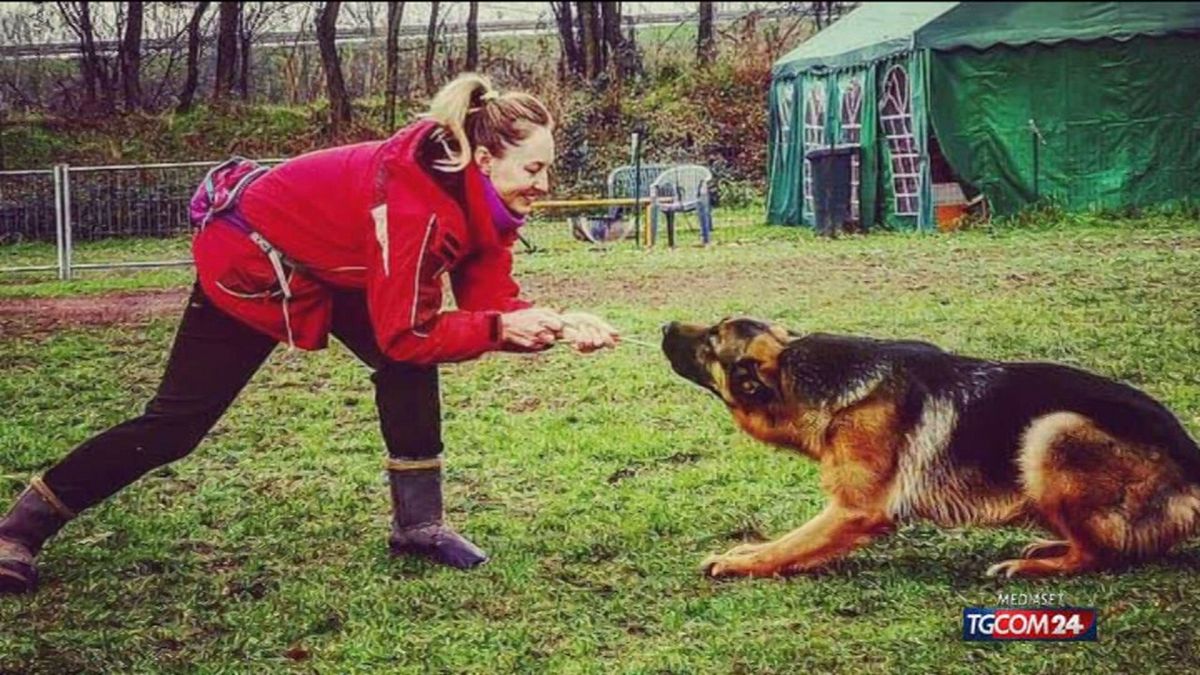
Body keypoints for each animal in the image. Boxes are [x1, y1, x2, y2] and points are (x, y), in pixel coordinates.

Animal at [662, 317, 1200, 576]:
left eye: (711, 340)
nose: (664, 326)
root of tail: (1191, 463)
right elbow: (788, 542)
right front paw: (749, 549)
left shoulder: (855, 511)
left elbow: (791, 544)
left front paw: (740, 563)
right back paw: (1048, 545)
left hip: (1052, 432)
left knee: (1100, 555)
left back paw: (1030, 566)